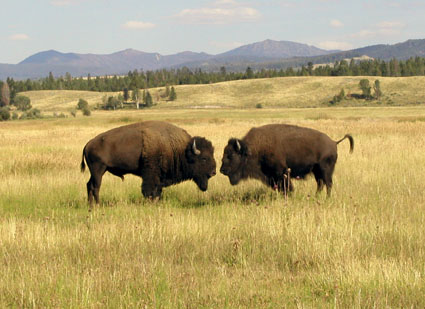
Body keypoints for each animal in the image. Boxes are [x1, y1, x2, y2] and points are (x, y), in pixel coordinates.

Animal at [80, 120, 215, 205]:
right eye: (204, 158)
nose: (213, 172)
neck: (179, 148)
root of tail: (88, 144)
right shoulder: (150, 174)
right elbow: (149, 190)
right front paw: (150, 202)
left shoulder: (160, 178)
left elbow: (157, 191)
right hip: (99, 170)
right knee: (95, 187)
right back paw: (98, 204)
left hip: (96, 171)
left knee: (89, 185)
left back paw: (90, 205)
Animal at [220, 122, 352, 195]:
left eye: (231, 155)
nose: (222, 170)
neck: (253, 148)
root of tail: (334, 142)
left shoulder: (281, 172)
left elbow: (287, 187)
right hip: (316, 171)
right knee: (320, 184)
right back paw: (316, 197)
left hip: (325, 169)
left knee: (328, 184)